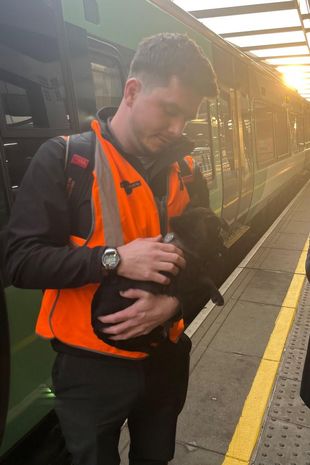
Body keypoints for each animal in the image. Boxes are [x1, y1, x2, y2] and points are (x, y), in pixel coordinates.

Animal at [91, 205, 224, 350]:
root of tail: (95, 327)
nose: (223, 245)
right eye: (216, 233)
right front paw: (217, 295)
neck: (183, 246)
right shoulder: (184, 282)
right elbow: (205, 278)